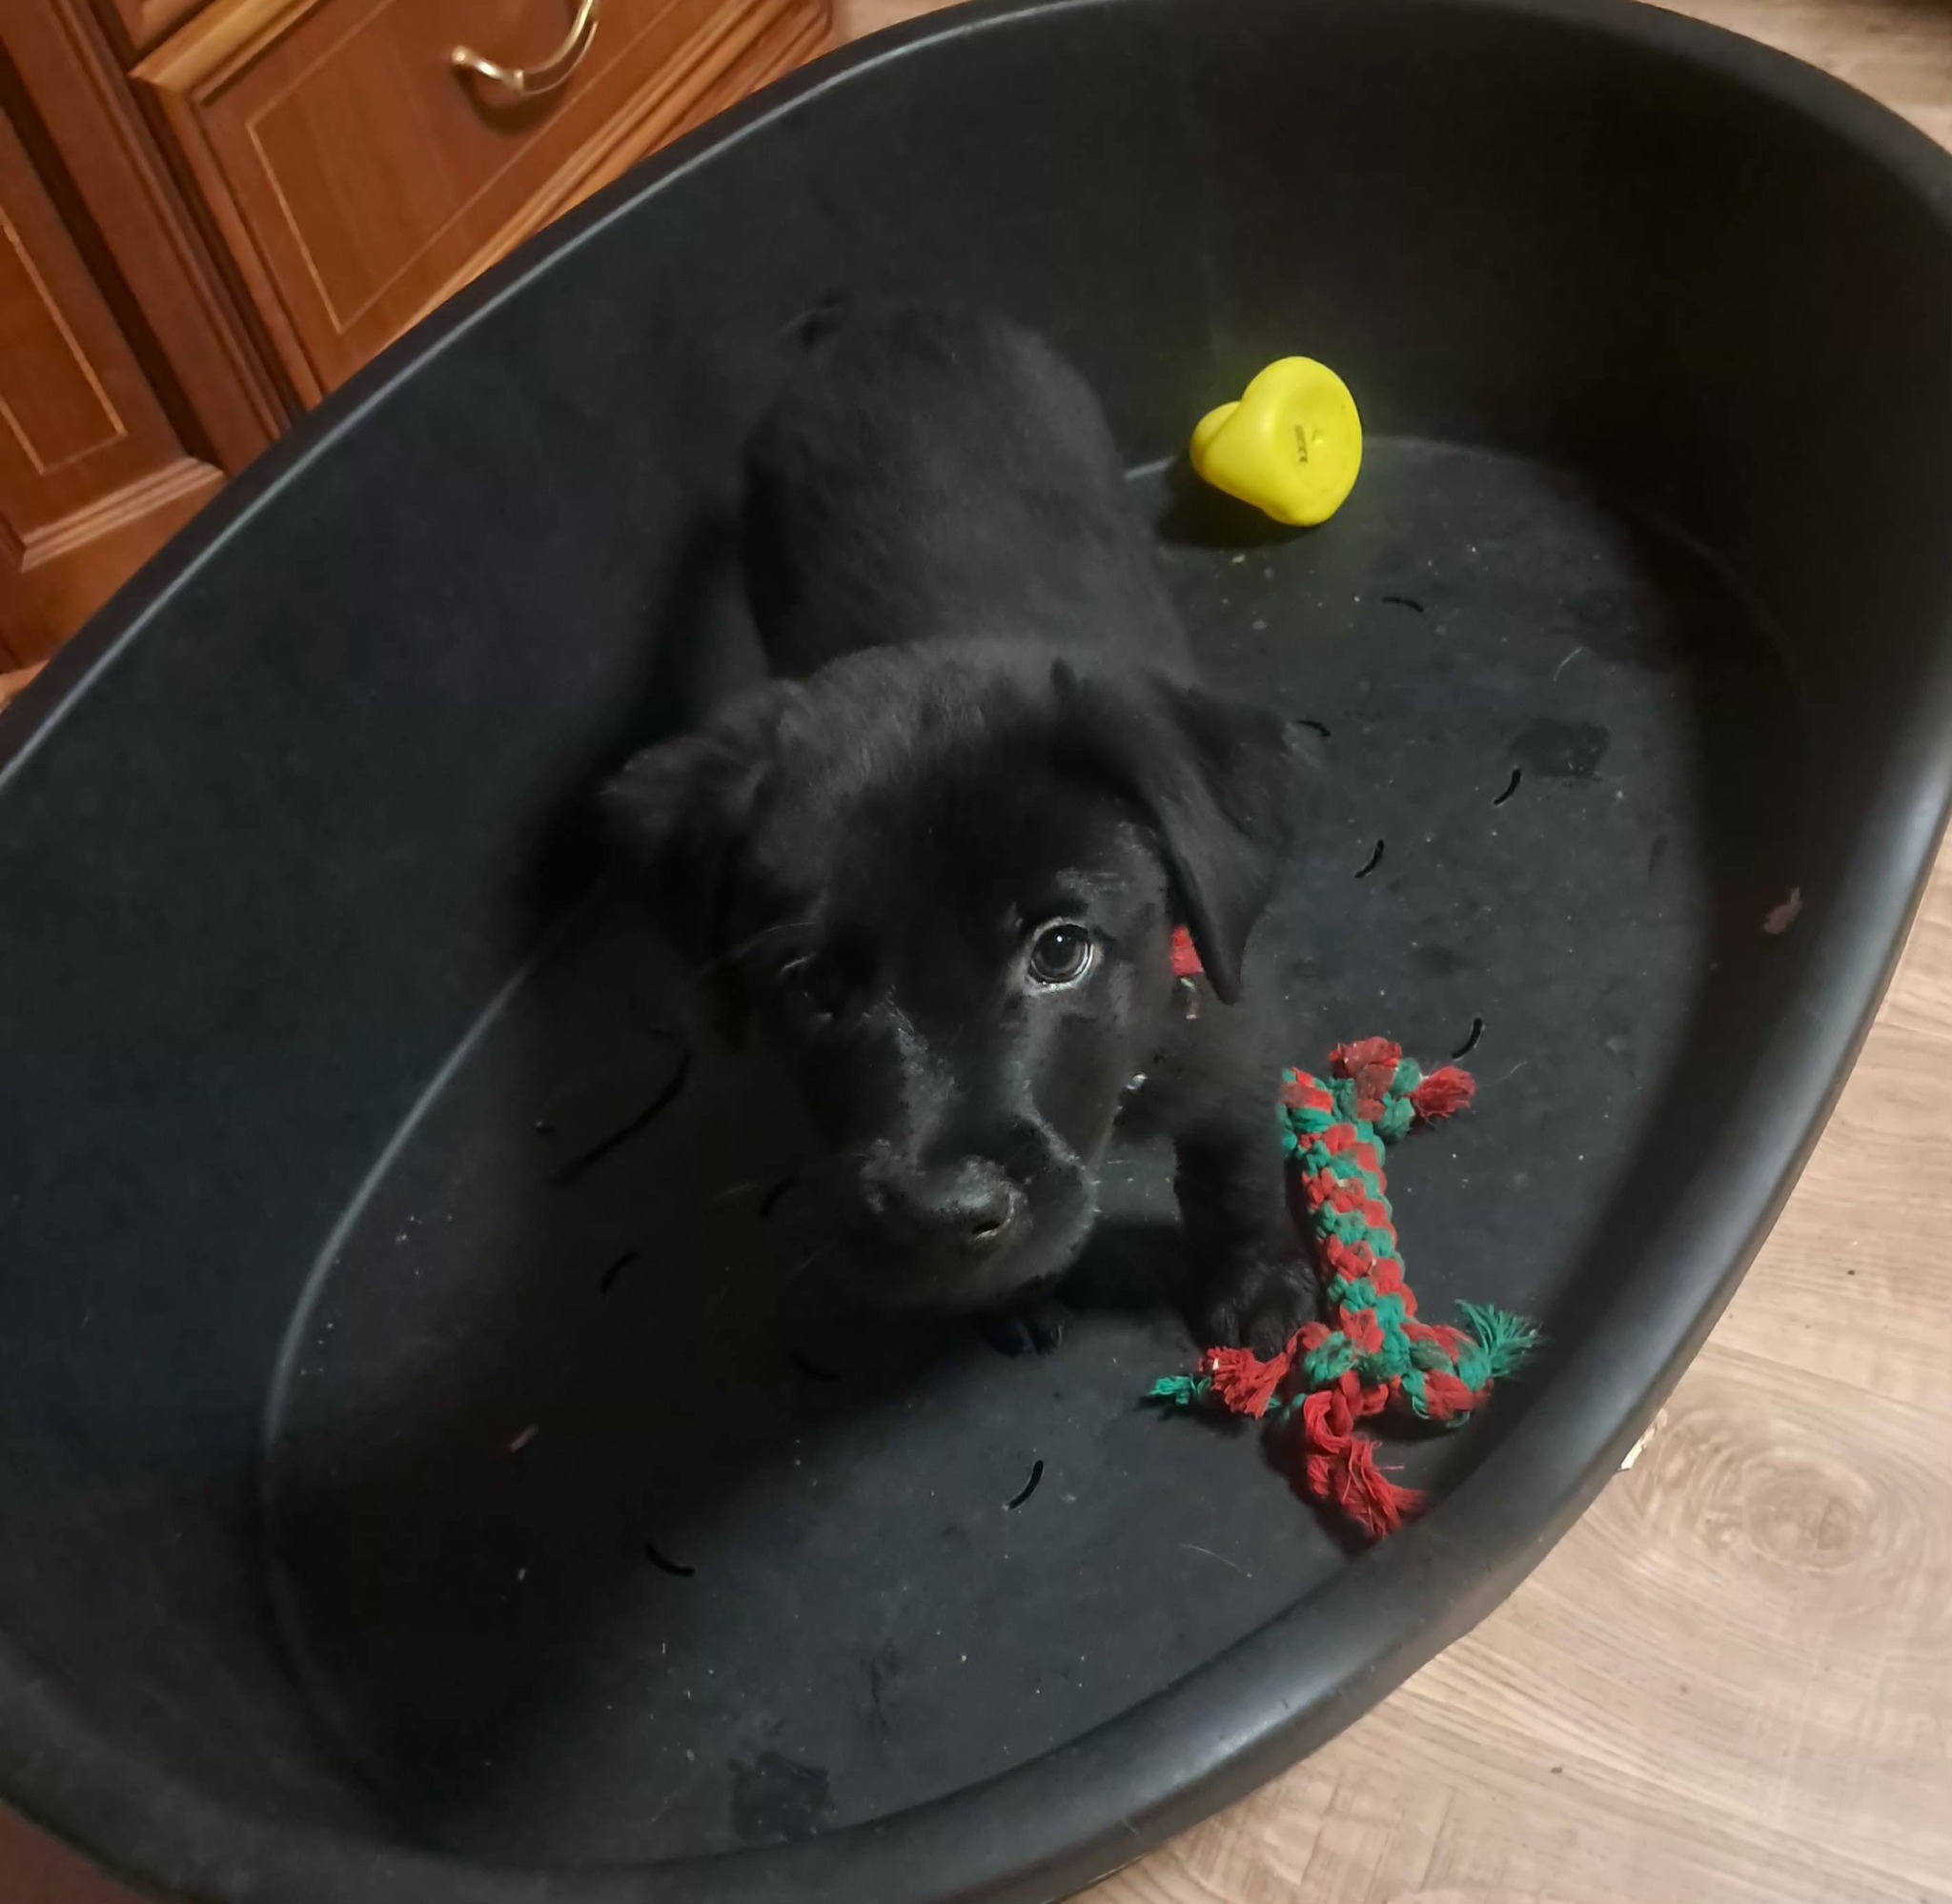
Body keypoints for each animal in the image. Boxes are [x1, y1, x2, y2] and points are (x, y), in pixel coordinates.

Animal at [604, 305, 1317, 1351]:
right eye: (808, 985)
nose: (940, 1219)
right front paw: (1004, 1303)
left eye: (1060, 950)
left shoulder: (1236, 1035)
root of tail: (884, 319)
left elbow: (1236, 1173)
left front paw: (1257, 1289)